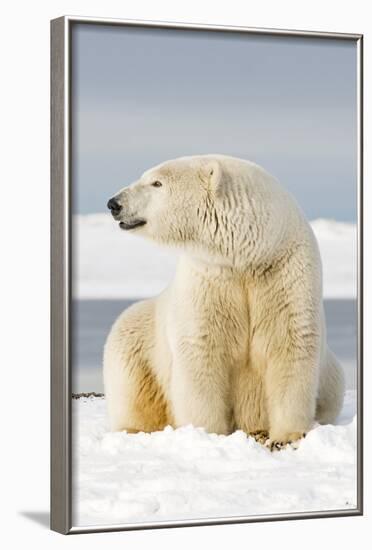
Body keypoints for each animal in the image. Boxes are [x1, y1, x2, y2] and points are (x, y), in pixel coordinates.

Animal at [103, 154, 344, 448]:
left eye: (156, 182)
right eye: (147, 177)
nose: (114, 203)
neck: (249, 255)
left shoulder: (285, 274)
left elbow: (290, 343)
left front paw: (288, 436)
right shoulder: (210, 278)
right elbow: (202, 350)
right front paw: (207, 433)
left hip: (332, 375)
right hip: (138, 336)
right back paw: (135, 429)